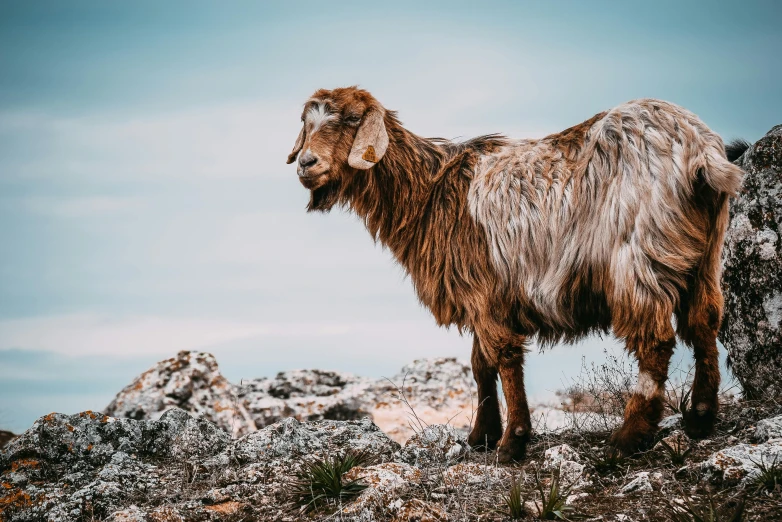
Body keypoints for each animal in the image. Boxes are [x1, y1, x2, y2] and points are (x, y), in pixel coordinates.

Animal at [288, 87, 748, 462]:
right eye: (307, 123)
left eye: (351, 119)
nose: (306, 163)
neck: (430, 191)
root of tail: (699, 150)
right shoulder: (478, 296)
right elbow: (480, 364)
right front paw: (482, 435)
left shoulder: (485, 291)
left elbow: (504, 358)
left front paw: (513, 442)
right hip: (704, 256)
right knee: (703, 321)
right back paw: (701, 417)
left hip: (637, 260)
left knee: (655, 340)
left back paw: (629, 437)